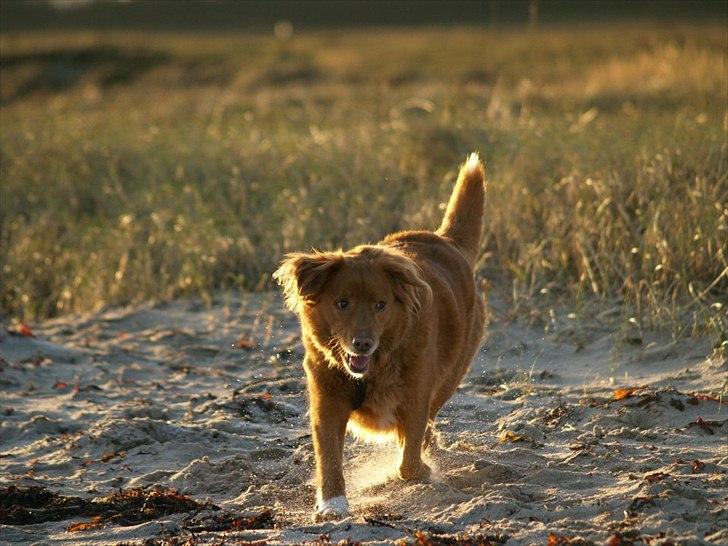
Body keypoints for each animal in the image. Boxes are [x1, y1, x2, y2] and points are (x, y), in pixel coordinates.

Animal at [276, 152, 486, 516]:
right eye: (342, 303)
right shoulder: (327, 403)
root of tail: (447, 242)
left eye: (380, 305)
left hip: (451, 374)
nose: (362, 343)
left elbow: (409, 463)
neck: (371, 370)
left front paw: (420, 471)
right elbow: (328, 459)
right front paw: (333, 504)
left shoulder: (415, 399)